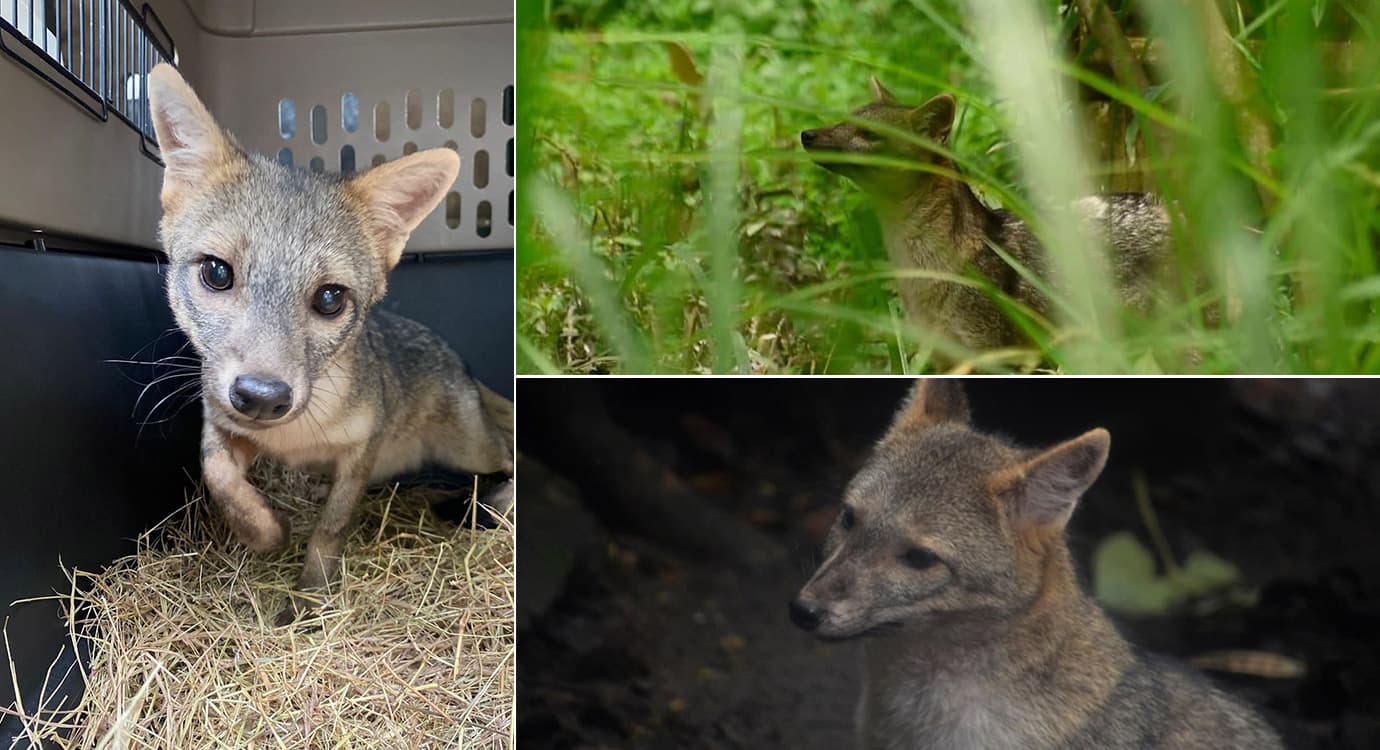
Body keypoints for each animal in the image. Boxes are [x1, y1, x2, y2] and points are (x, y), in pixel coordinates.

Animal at [145, 65, 516, 627]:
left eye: (329, 298)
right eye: (216, 272)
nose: (261, 398)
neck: (294, 439)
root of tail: (459, 361)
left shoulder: (360, 451)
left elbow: (329, 531)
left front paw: (308, 598)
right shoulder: (223, 426)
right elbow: (219, 476)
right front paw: (266, 532)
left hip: (469, 448)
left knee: (512, 457)